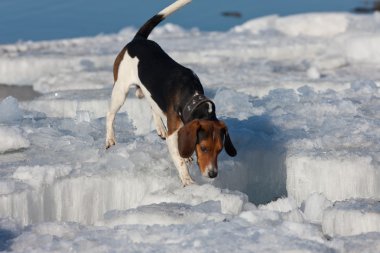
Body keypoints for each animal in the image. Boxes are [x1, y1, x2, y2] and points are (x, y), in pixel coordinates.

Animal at [105, 0, 236, 186]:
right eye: (204, 148)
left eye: (220, 149)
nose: (212, 174)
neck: (192, 97)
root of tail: (138, 40)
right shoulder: (173, 135)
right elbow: (179, 159)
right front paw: (187, 180)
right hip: (120, 90)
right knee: (110, 114)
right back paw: (110, 138)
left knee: (151, 104)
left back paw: (160, 127)